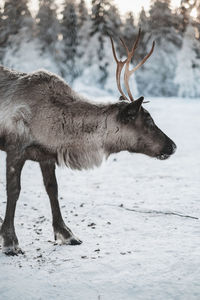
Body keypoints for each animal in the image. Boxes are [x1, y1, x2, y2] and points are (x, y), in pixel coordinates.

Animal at [0, 29, 176, 255]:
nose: (172, 145)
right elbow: (14, 191)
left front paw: (66, 234)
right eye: (149, 120)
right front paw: (10, 241)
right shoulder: (15, 149)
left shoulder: (46, 155)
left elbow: (52, 189)